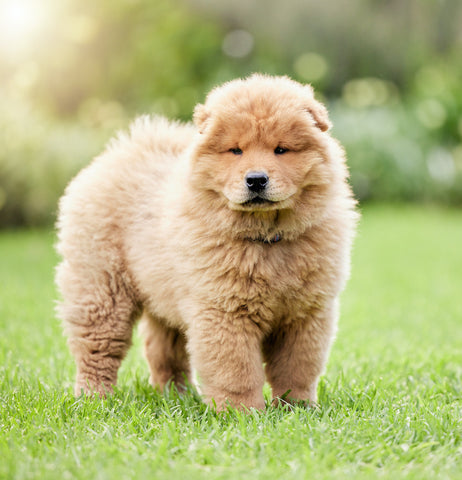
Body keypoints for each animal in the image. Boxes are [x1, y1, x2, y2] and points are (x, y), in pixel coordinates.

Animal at [55, 73, 358, 410]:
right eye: (236, 151)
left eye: (281, 150)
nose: (256, 179)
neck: (266, 238)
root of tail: (119, 152)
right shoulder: (224, 310)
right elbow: (237, 369)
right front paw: (242, 412)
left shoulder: (306, 314)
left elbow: (297, 367)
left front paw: (297, 408)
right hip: (102, 289)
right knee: (97, 349)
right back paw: (94, 398)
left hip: (165, 296)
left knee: (164, 350)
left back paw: (178, 395)